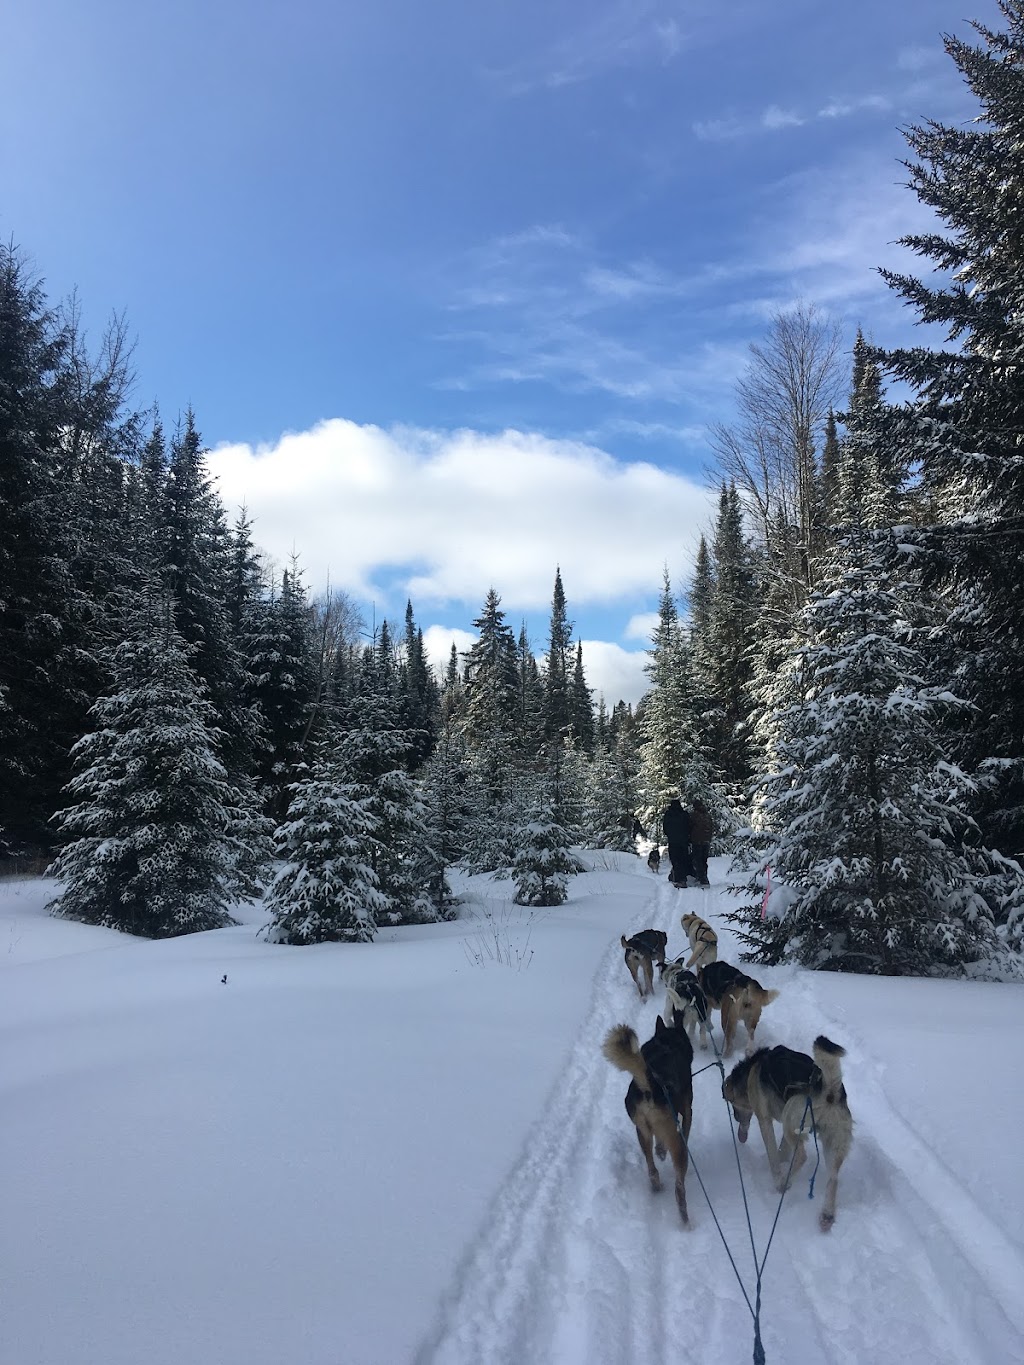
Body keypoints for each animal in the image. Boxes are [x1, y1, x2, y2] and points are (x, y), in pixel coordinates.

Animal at [600, 1015, 699, 1228]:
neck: (666, 1043)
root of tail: (651, 1087)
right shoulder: (687, 1111)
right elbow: (687, 1127)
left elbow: (659, 1145)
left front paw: (660, 1151)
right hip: (676, 1145)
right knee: (679, 1189)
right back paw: (685, 1220)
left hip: (641, 1131)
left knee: (652, 1169)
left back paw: (657, 1185)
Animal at [720, 1037, 857, 1233]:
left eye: (733, 1104)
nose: (737, 1117)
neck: (753, 1068)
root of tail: (828, 1089)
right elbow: (783, 1150)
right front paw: (783, 1158)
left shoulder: (765, 1121)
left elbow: (773, 1156)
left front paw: (777, 1170)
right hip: (831, 1144)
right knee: (833, 1178)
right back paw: (827, 1215)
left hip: (790, 1119)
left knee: (801, 1156)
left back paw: (783, 1183)